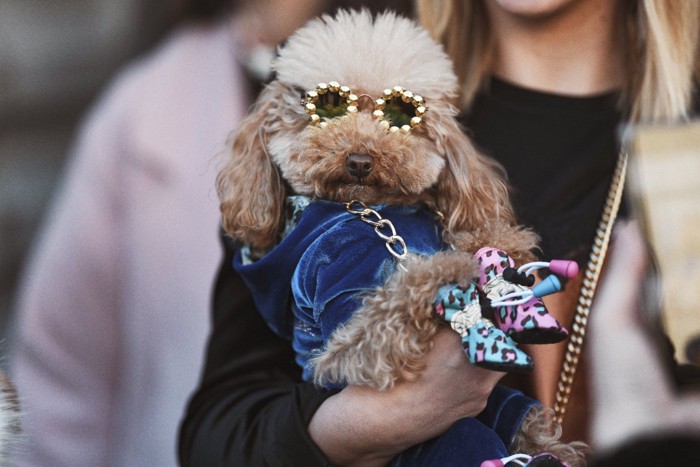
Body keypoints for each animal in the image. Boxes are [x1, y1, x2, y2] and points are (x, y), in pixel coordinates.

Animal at [217, 8, 584, 467]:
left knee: (528, 420)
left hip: (511, 405)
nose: (359, 160)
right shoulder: (351, 345)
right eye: (328, 106)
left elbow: (480, 233)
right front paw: (449, 267)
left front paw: (502, 245)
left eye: (401, 115)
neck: (369, 211)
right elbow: (395, 303)